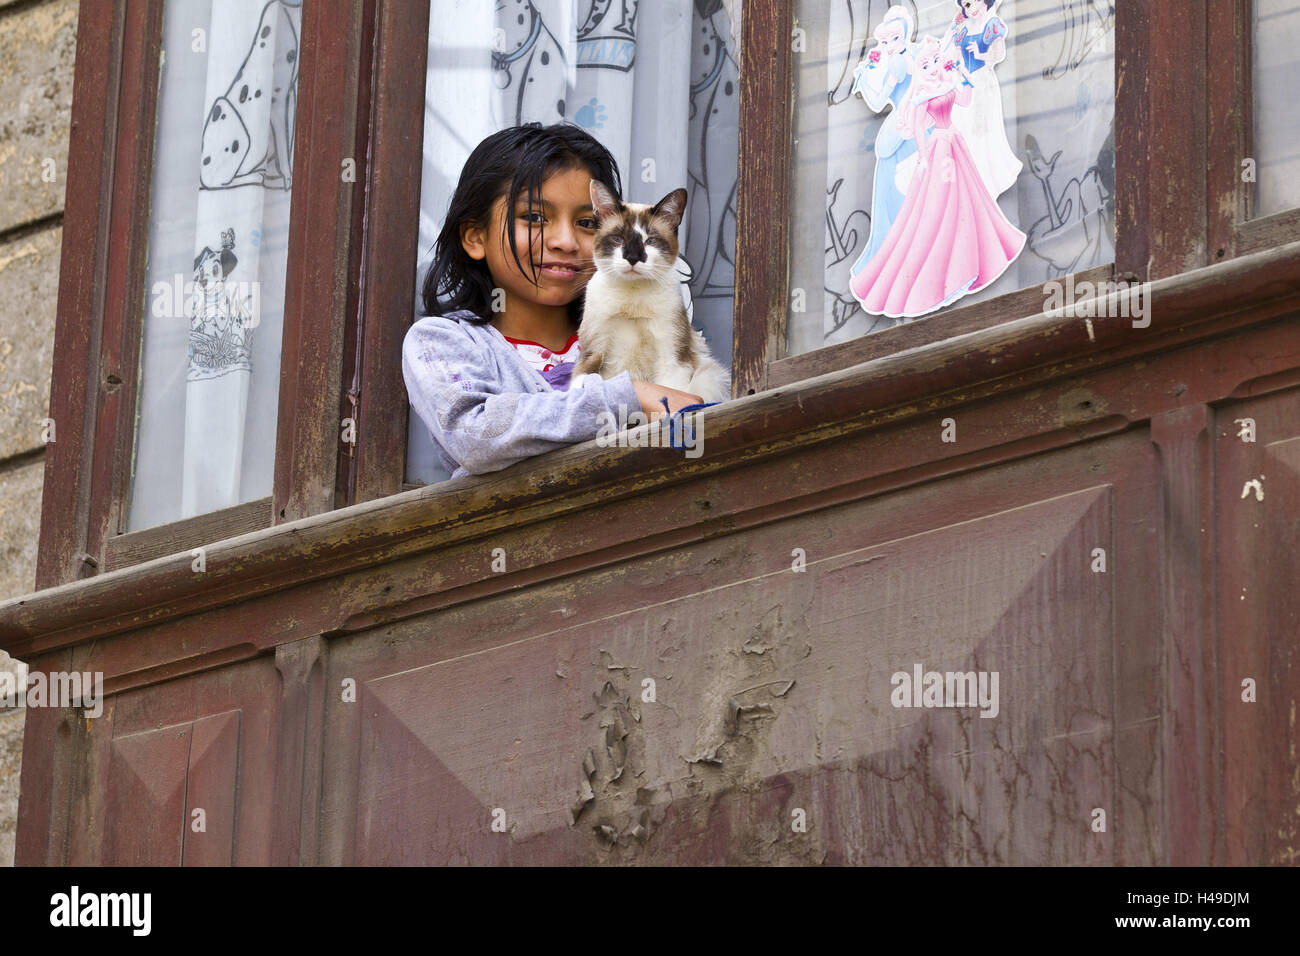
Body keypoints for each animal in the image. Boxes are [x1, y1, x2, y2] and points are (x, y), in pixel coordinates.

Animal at [577, 180, 733, 405]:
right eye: (618, 239)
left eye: (650, 241)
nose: (633, 258)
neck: (633, 297)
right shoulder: (593, 353)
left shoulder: (672, 359)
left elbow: (670, 396)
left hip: (711, 376)